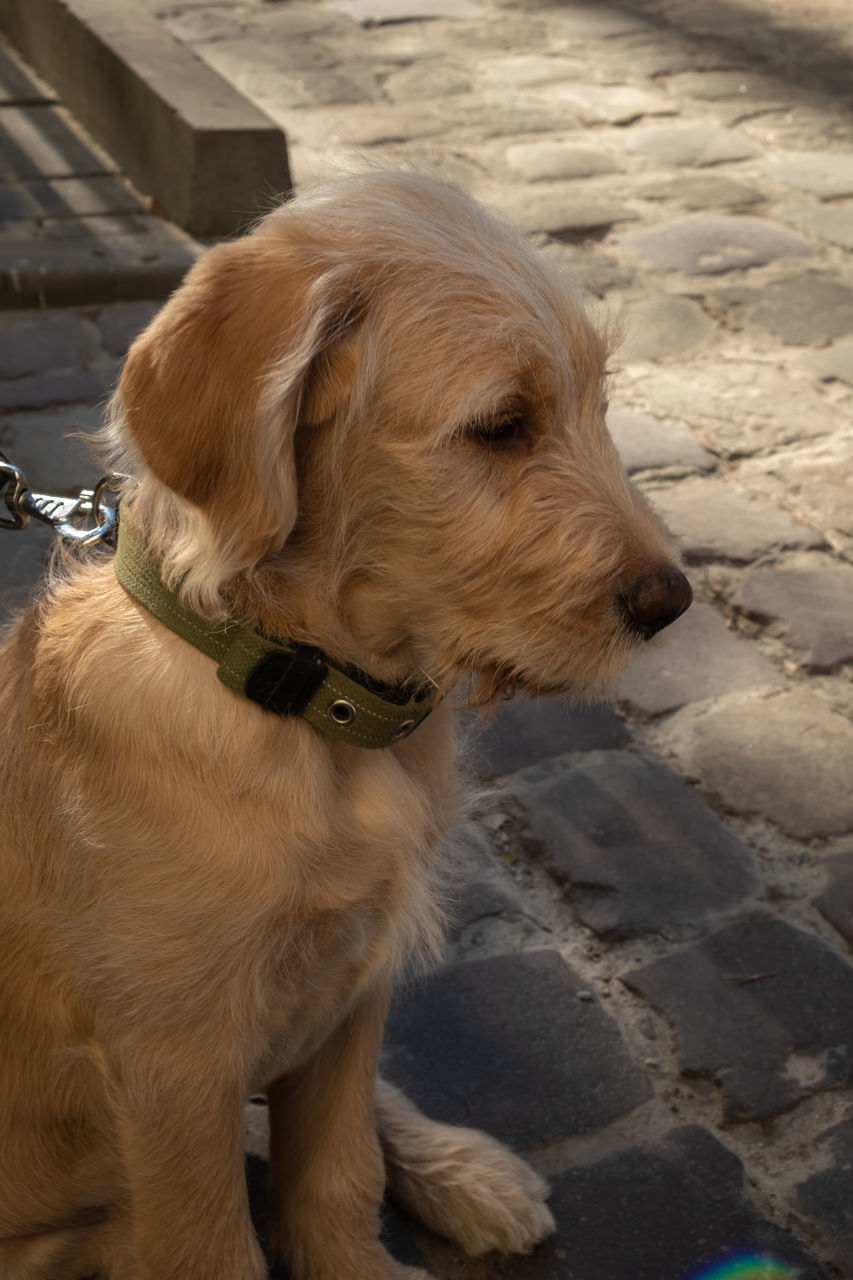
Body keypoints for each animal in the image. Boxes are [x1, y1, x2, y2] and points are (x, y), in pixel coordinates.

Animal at [0, 172, 691, 1280]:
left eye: (597, 404)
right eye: (500, 425)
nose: (671, 602)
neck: (303, 707)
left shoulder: (351, 994)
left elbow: (334, 1171)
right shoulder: (173, 1068)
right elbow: (214, 1242)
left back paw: (465, 1172)